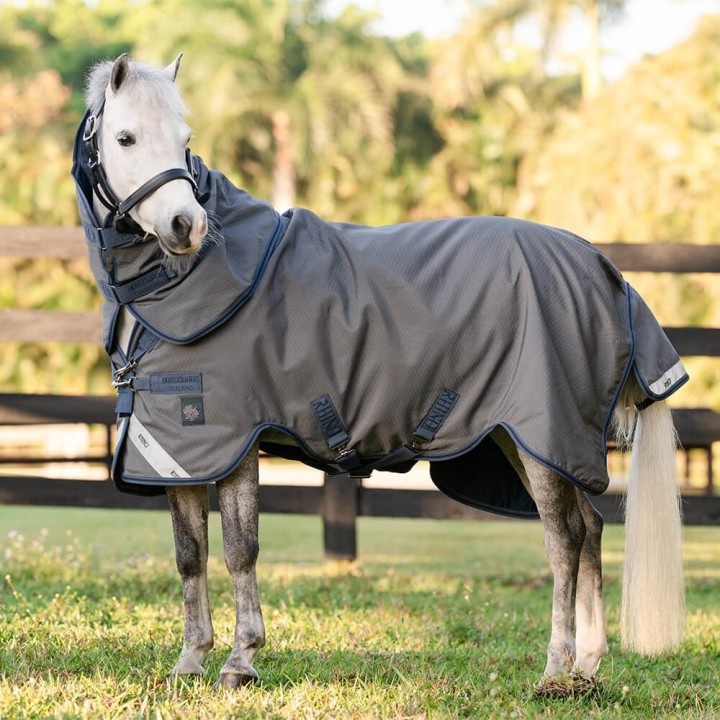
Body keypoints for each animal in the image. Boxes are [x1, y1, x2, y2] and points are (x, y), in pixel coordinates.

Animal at [71, 53, 686, 692]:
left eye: (184, 139)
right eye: (126, 137)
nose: (185, 226)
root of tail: (604, 269)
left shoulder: (231, 442)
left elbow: (241, 550)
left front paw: (240, 662)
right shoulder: (179, 450)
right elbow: (190, 554)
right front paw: (190, 661)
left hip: (543, 435)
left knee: (563, 540)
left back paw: (554, 668)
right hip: (529, 440)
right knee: (589, 528)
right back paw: (585, 668)